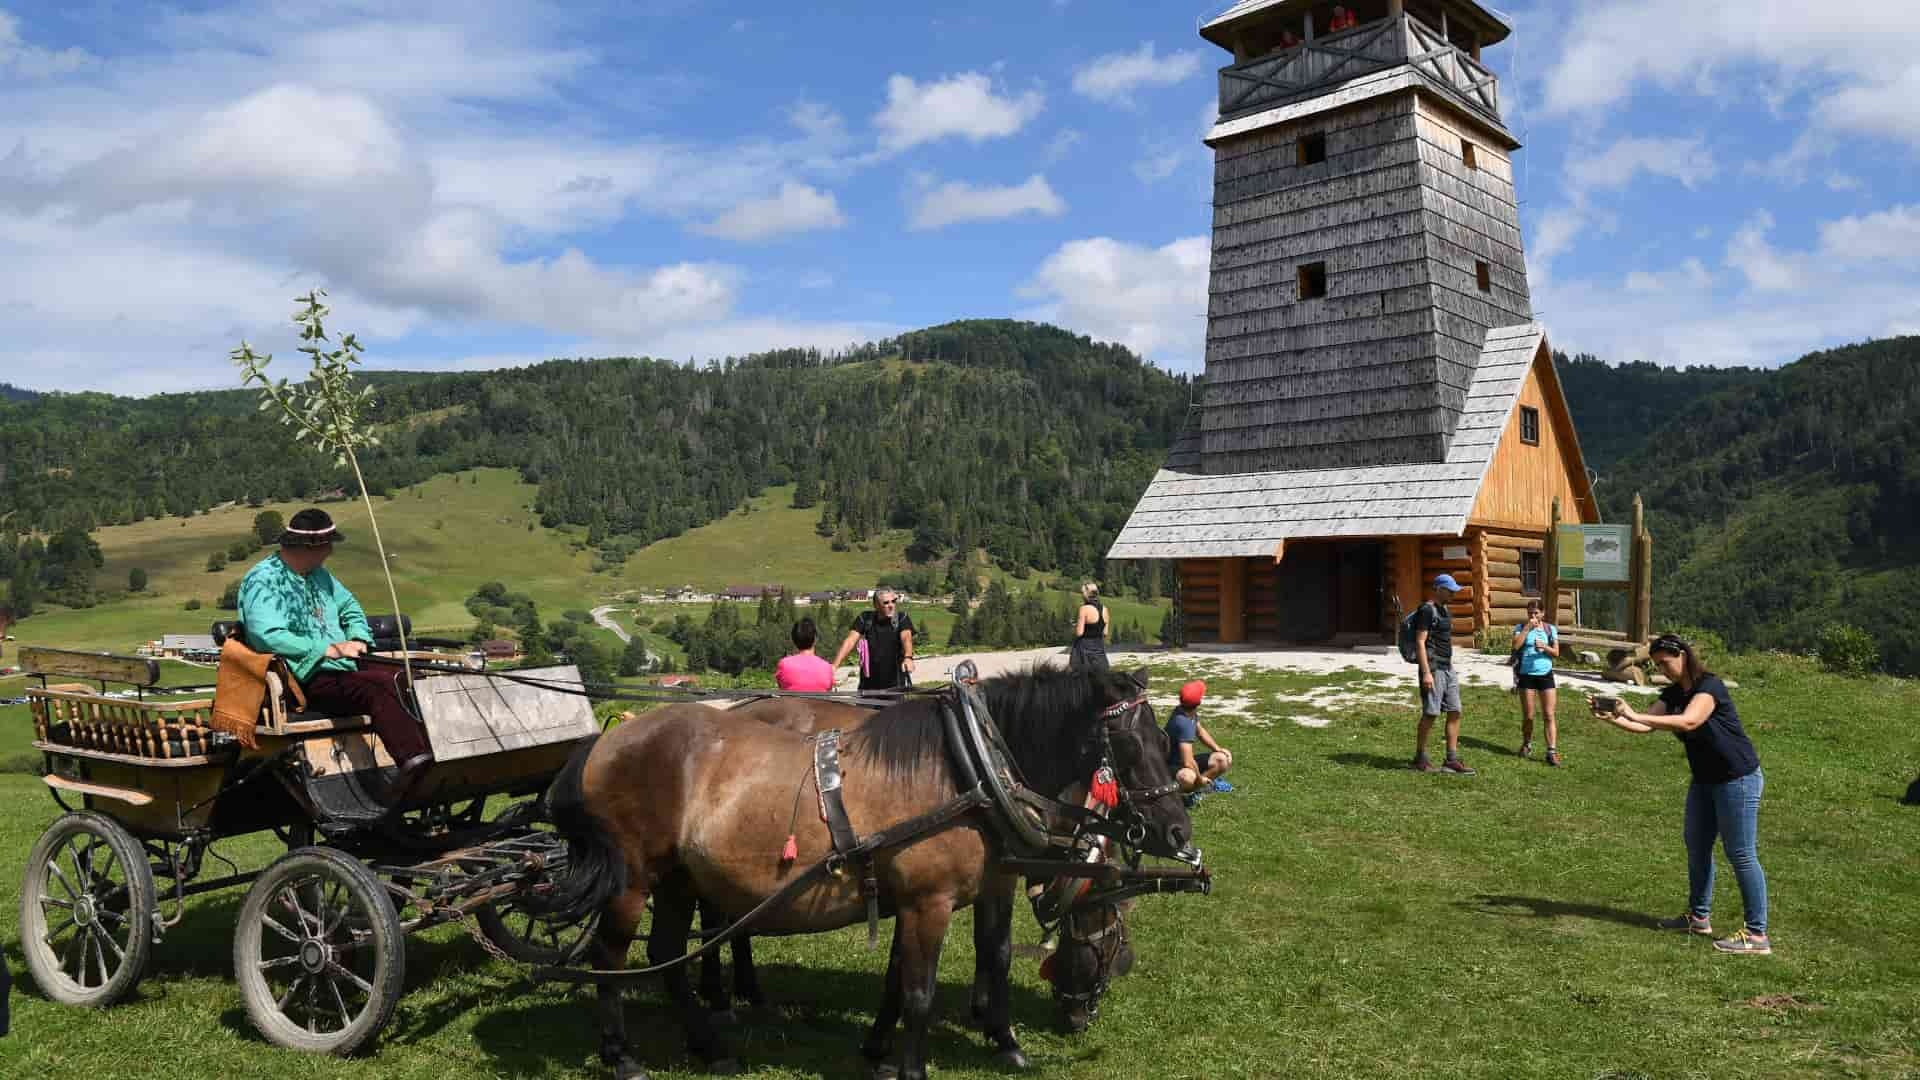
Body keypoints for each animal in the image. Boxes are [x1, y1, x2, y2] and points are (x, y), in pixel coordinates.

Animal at [541, 664, 1190, 1076]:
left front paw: (987, 1041)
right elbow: (920, 991)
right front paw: (912, 1066)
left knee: (668, 954)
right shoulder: (928, 901)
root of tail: (604, 742)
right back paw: (623, 1054)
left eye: (1165, 741)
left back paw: (708, 1044)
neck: (970, 771)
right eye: (1130, 746)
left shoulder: (943, 892)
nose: (1179, 833)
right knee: (610, 956)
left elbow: (956, 965)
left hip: (676, 878)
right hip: (631, 880)